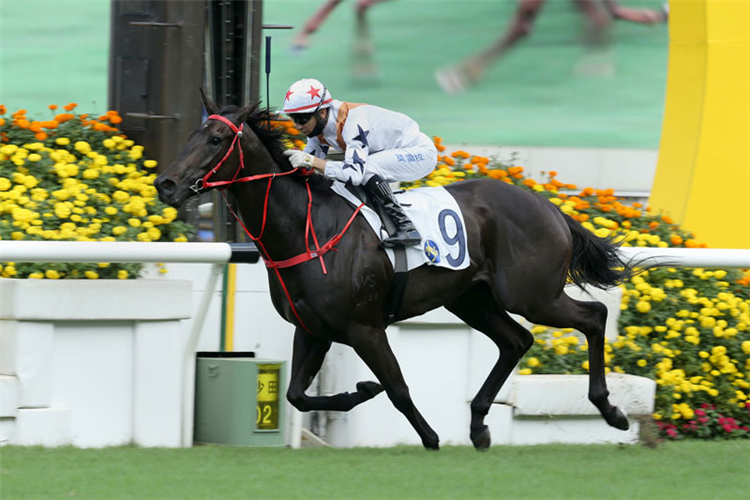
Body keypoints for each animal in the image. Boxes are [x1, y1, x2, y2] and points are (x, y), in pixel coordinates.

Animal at [156, 94, 636, 450]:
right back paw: (478, 425)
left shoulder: (365, 327)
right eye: (194, 133)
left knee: (593, 316)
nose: (166, 184)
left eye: (216, 138)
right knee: (516, 340)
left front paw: (429, 437)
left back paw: (611, 411)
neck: (306, 229)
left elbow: (398, 389)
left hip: (531, 295)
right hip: (471, 299)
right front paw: (360, 392)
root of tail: (548, 205)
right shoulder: (313, 329)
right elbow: (296, 395)